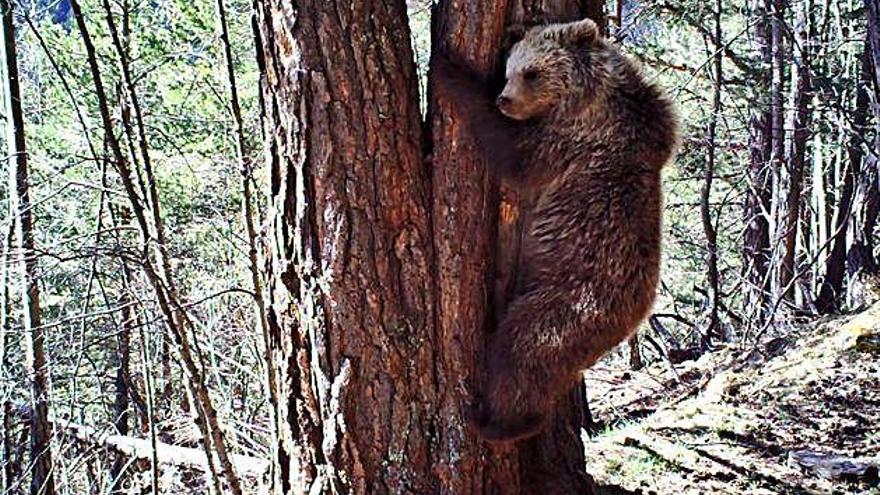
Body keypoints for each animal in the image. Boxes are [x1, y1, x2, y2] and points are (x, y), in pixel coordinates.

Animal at [434, 16, 680, 442]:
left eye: (531, 72)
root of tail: (634, 316)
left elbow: (513, 152)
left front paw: (448, 69)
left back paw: (498, 422)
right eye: (509, 69)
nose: (504, 100)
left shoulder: (571, 139)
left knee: (524, 346)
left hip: (569, 302)